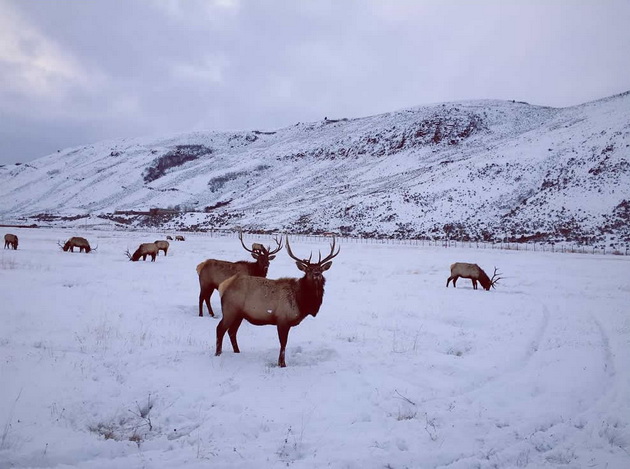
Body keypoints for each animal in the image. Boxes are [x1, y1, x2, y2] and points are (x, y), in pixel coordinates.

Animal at [220, 236, 344, 368]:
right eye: (308, 270)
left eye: (321, 269)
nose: (316, 274)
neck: (301, 302)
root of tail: (224, 286)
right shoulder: (282, 319)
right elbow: (283, 343)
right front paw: (282, 364)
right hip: (230, 309)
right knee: (220, 329)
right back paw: (218, 353)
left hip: (239, 314)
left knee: (232, 331)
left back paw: (237, 352)